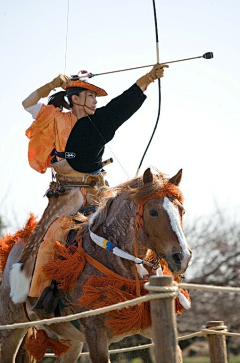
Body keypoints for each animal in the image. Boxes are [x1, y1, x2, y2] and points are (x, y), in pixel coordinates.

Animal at [0, 169, 191, 362]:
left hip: (72, 340)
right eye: (153, 212)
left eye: (182, 211)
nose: (182, 257)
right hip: (11, 328)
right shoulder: (94, 331)